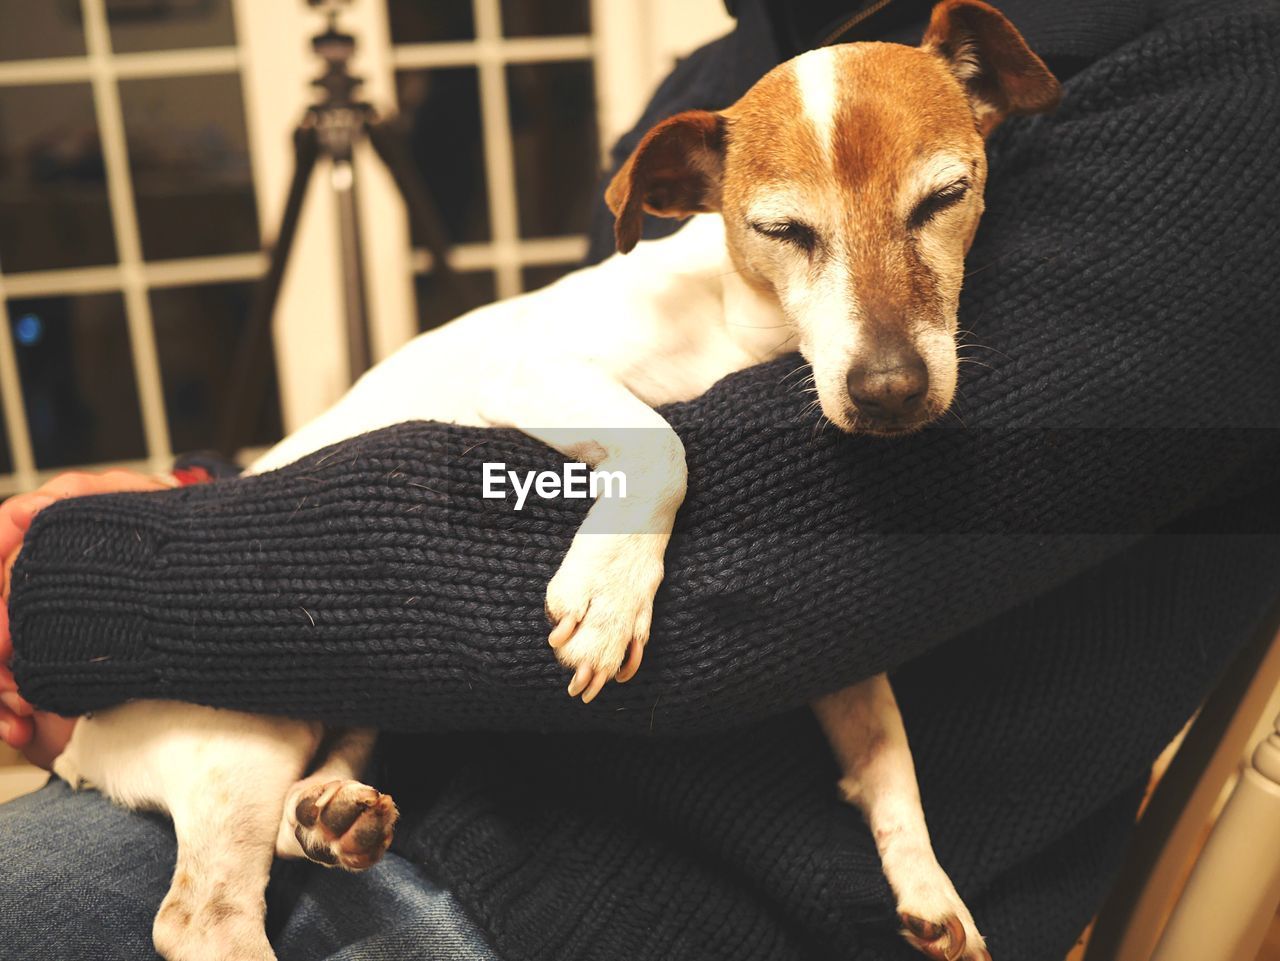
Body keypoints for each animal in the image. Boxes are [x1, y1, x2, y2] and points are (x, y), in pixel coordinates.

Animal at [45, 3, 1054, 957]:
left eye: (947, 196)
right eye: (782, 230)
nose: (890, 392)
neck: (738, 324)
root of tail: (80, 751)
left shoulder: (834, 658)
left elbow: (885, 752)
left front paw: (926, 883)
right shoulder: (532, 371)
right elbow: (666, 444)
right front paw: (611, 595)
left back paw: (332, 813)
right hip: (246, 735)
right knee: (201, 920)